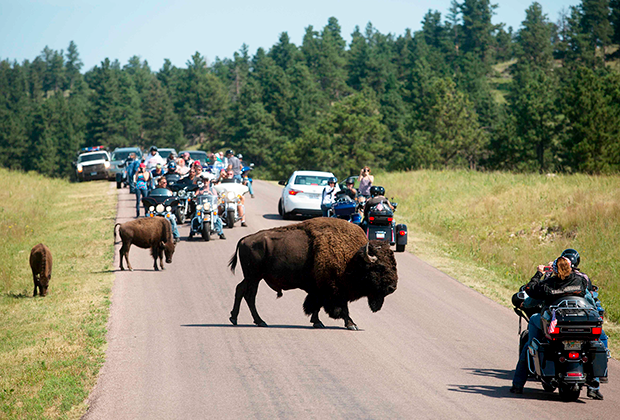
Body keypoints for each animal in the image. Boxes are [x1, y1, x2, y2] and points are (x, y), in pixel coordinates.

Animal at [228, 218, 398, 330]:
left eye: (394, 264)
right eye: (380, 267)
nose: (392, 288)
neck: (353, 258)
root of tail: (244, 240)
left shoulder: (320, 289)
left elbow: (316, 305)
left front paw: (317, 322)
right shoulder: (334, 290)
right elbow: (340, 308)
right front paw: (352, 324)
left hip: (254, 278)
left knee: (243, 292)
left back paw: (242, 319)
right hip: (254, 277)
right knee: (247, 294)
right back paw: (252, 320)